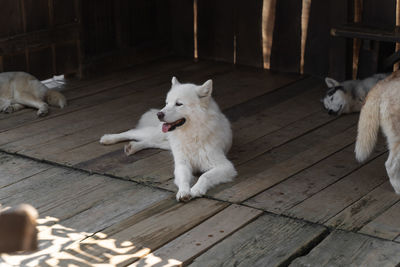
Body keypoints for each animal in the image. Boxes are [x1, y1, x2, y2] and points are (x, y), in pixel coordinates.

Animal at [101, 77, 238, 203]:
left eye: (179, 104)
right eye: (167, 103)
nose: (159, 114)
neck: (191, 135)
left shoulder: (225, 166)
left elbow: (205, 176)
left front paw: (196, 189)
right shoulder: (182, 164)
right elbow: (184, 179)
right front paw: (183, 192)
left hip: (166, 143)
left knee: (151, 142)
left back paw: (133, 147)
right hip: (157, 134)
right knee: (132, 132)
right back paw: (108, 138)